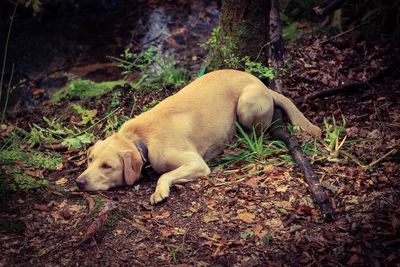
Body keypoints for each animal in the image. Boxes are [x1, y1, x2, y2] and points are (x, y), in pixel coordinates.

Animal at [76, 69, 322, 205]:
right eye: (90, 160)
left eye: (107, 166)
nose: (79, 182)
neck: (141, 140)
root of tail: (263, 85)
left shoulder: (196, 163)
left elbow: (164, 175)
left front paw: (159, 192)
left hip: (246, 104)